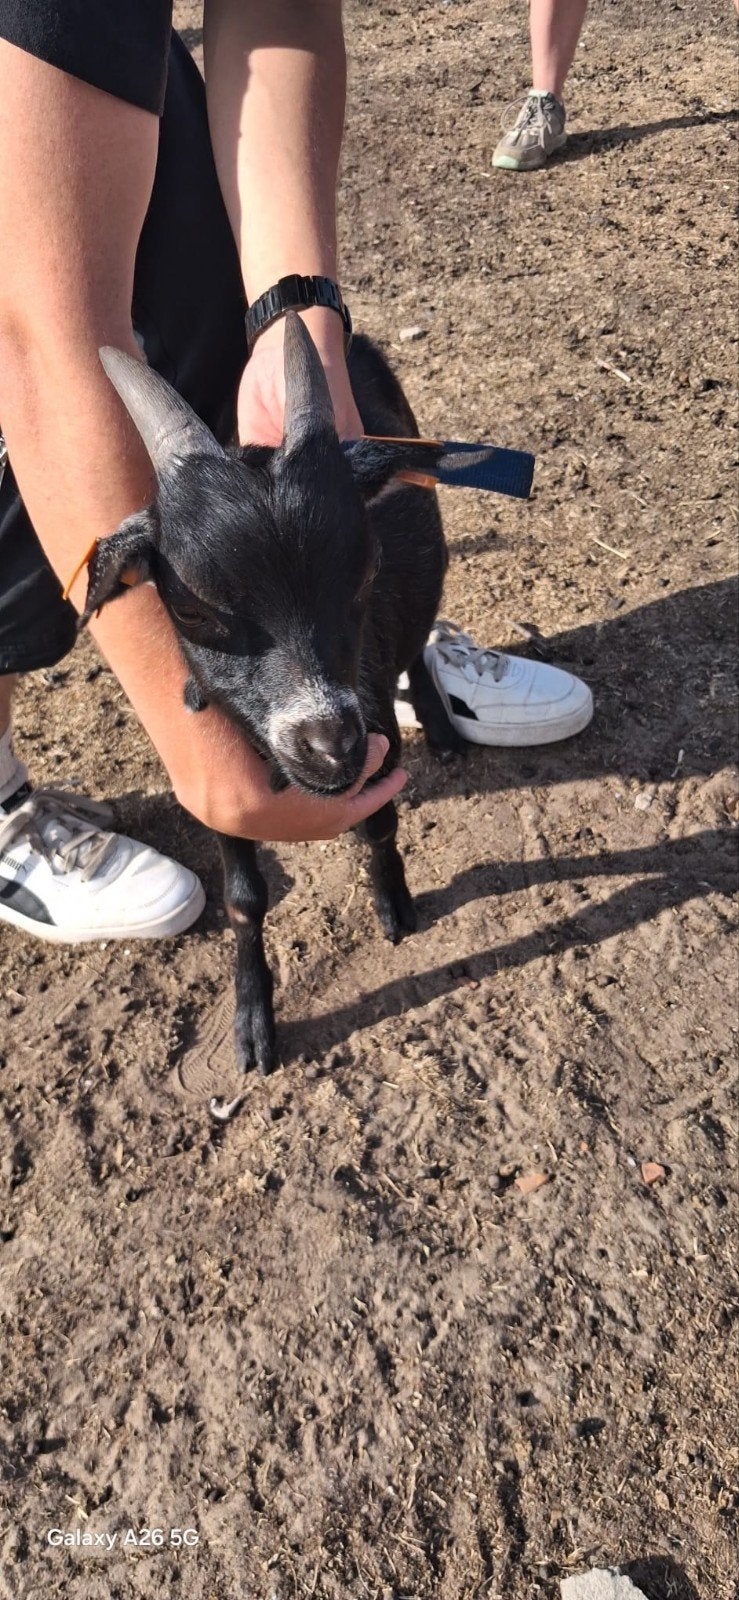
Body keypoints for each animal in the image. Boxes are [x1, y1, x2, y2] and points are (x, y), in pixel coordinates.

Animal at [80, 315, 480, 1076]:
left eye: (365, 571)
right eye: (194, 609)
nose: (331, 744)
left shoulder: (376, 731)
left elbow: (380, 825)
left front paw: (394, 905)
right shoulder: (220, 789)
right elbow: (242, 898)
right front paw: (252, 1023)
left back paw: (442, 727)